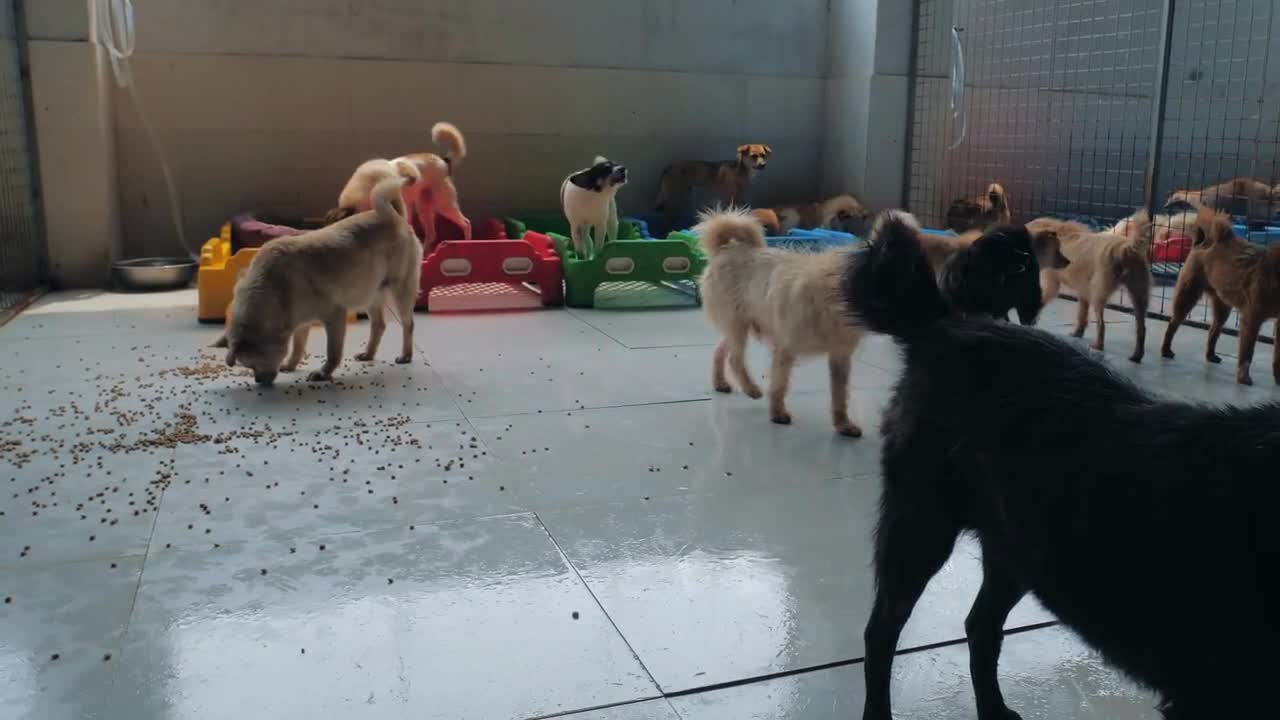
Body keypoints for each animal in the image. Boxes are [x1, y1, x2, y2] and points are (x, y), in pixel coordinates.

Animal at [221, 165, 419, 384]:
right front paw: (291, 365)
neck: (275, 287)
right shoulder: (301, 324)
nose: (258, 381)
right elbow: (297, 348)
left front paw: (324, 373)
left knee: (408, 324)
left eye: (252, 364)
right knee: (379, 325)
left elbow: (333, 352)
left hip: (400, 291)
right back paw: (368, 354)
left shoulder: (334, 317)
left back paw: (406, 355)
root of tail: (394, 216)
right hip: (370, 293)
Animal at [701, 204, 870, 435]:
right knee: (735, 359)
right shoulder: (785, 350)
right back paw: (751, 388)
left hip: (740, 325)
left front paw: (843, 424)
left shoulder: (840, 358)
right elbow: (779, 385)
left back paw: (720, 382)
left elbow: (840, 395)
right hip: (737, 326)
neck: (829, 304)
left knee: (720, 351)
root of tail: (724, 250)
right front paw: (777, 413)